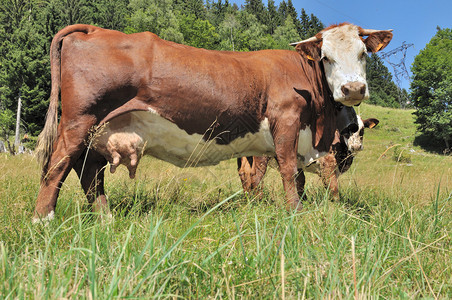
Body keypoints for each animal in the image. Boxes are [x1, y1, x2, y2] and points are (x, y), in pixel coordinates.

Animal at [238, 117, 380, 199]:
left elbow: (300, 183)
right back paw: (259, 200)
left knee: (244, 173)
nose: (356, 146)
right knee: (256, 177)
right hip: (260, 157)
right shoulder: (328, 165)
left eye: (362, 130)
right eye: (346, 129)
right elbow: (333, 188)